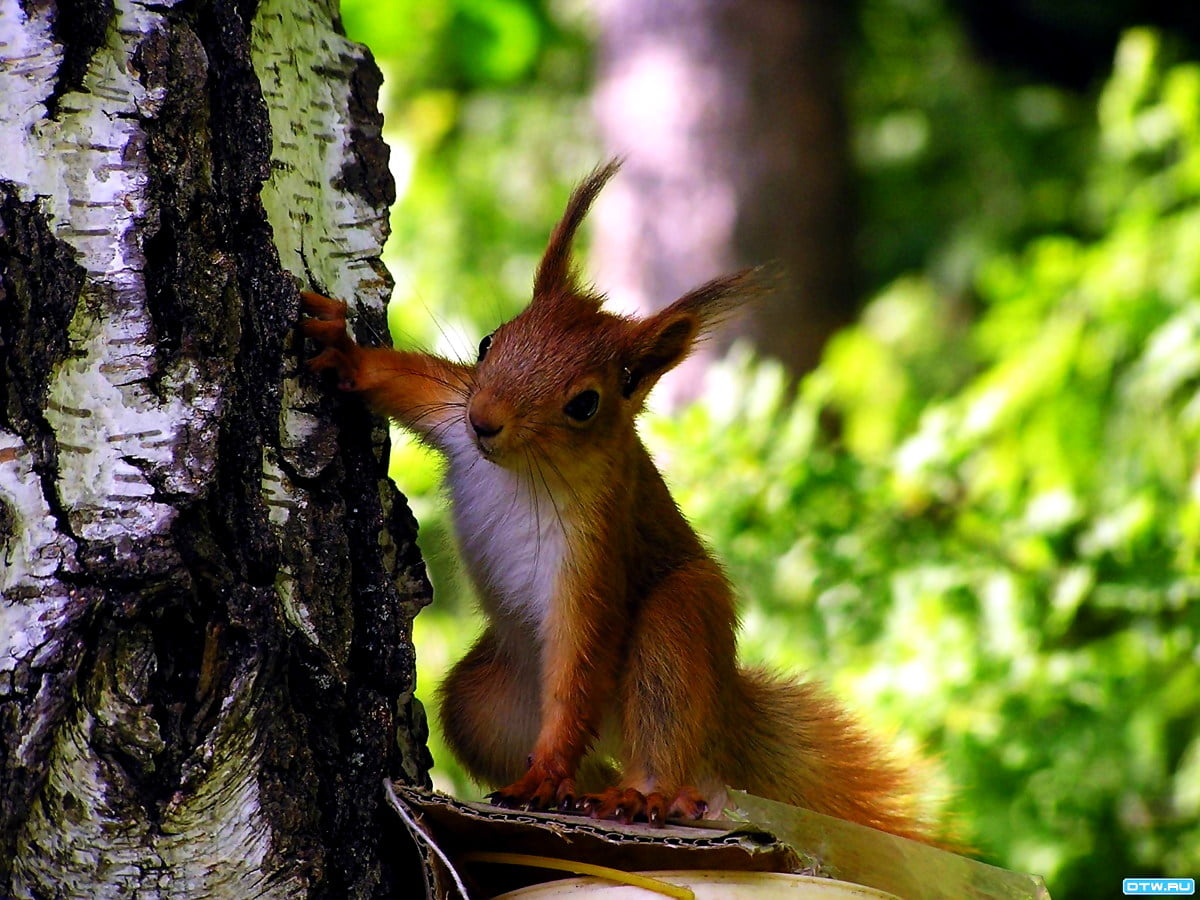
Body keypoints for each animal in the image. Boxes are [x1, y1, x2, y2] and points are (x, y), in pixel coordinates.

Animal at [300, 161, 935, 841]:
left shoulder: (597, 545)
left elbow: (580, 659)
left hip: (677, 627)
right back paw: (580, 793)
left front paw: (548, 770)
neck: (520, 471)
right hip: (486, 702)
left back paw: (645, 795)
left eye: (585, 404)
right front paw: (343, 352)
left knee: (661, 728)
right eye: (490, 342)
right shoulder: (452, 409)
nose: (485, 421)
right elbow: (406, 381)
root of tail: (723, 714)